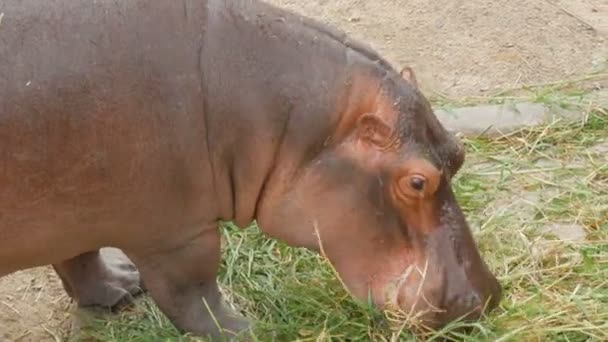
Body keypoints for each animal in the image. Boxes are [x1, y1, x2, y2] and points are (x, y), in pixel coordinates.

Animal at [0, 0, 502, 338]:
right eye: (417, 182)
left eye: (458, 152)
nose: (487, 297)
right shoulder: (177, 233)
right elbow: (193, 290)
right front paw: (242, 330)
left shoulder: (72, 203)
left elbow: (79, 256)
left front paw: (123, 286)